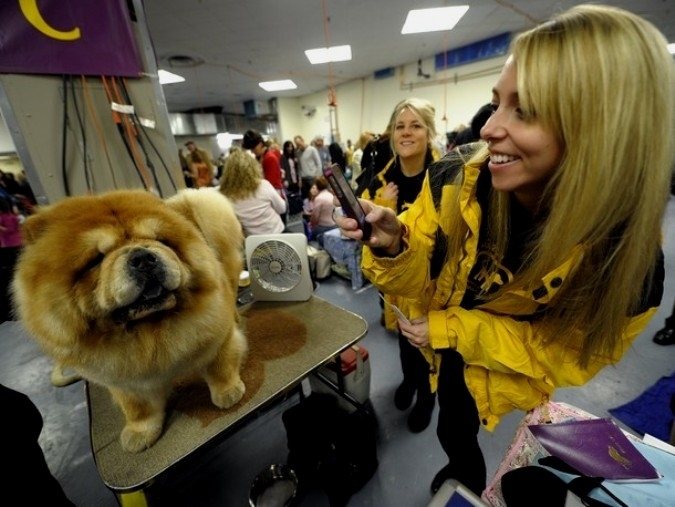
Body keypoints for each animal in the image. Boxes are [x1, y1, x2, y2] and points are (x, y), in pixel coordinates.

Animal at [12, 189, 248, 454]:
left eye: (161, 241)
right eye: (95, 260)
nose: (144, 258)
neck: (149, 329)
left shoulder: (216, 335)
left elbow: (220, 365)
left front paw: (228, 392)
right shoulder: (119, 377)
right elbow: (137, 407)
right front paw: (139, 433)